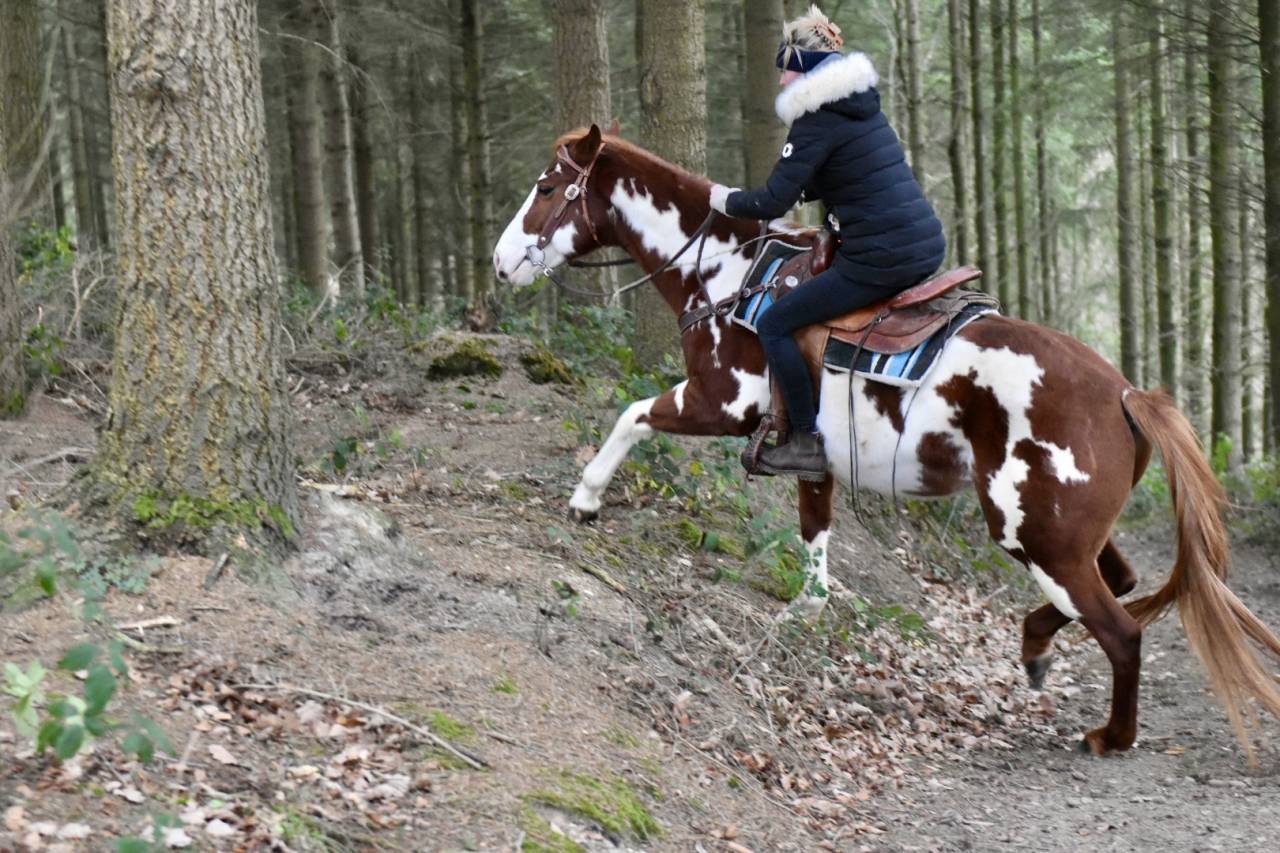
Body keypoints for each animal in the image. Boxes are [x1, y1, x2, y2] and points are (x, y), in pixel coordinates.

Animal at [491, 124, 1280, 759]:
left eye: (548, 186)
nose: (501, 263)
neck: (726, 273)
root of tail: (1124, 393)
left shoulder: (720, 401)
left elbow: (630, 414)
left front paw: (586, 497)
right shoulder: (808, 450)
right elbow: (814, 528)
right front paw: (806, 610)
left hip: (1036, 535)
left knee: (1120, 628)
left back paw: (1111, 735)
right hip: (1064, 533)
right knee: (1118, 584)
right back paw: (1033, 648)